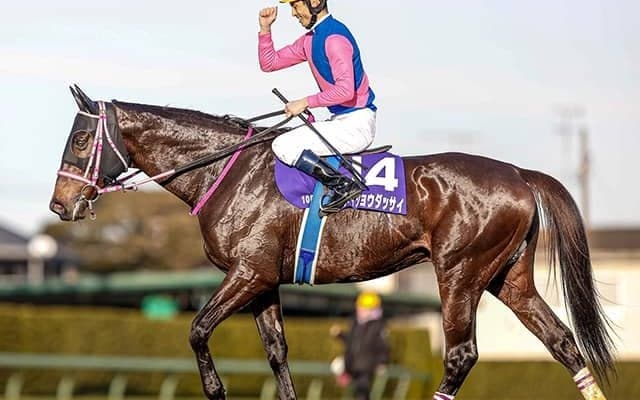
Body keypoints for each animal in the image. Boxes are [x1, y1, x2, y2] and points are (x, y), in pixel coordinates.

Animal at [49, 87, 615, 400]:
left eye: (80, 139)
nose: (60, 205)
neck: (229, 172)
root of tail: (518, 173)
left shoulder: (247, 273)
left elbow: (197, 331)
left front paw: (216, 390)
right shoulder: (263, 282)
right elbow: (277, 353)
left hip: (459, 273)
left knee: (461, 355)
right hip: (506, 278)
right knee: (562, 343)